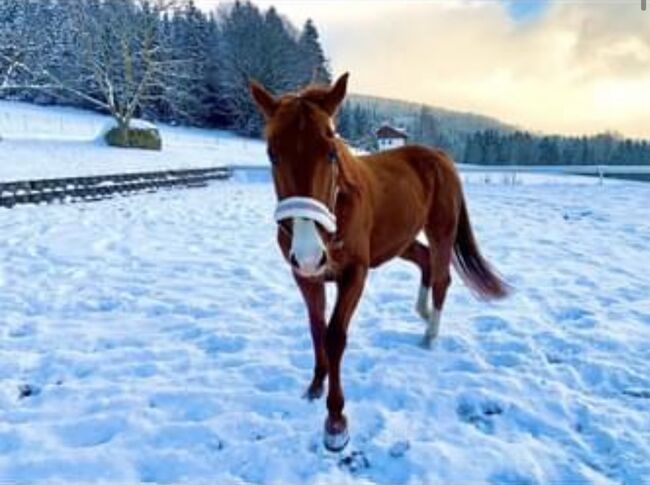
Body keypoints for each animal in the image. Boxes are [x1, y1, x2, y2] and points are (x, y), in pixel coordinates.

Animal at [248, 73, 506, 452]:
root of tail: (439, 156)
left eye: (330, 152)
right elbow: (316, 329)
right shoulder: (306, 277)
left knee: (441, 278)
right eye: (272, 154)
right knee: (425, 262)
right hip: (400, 240)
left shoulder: (354, 275)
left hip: (441, 231)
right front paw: (315, 385)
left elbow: (335, 336)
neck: (338, 210)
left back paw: (430, 334)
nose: (309, 253)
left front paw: (336, 420)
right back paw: (422, 313)